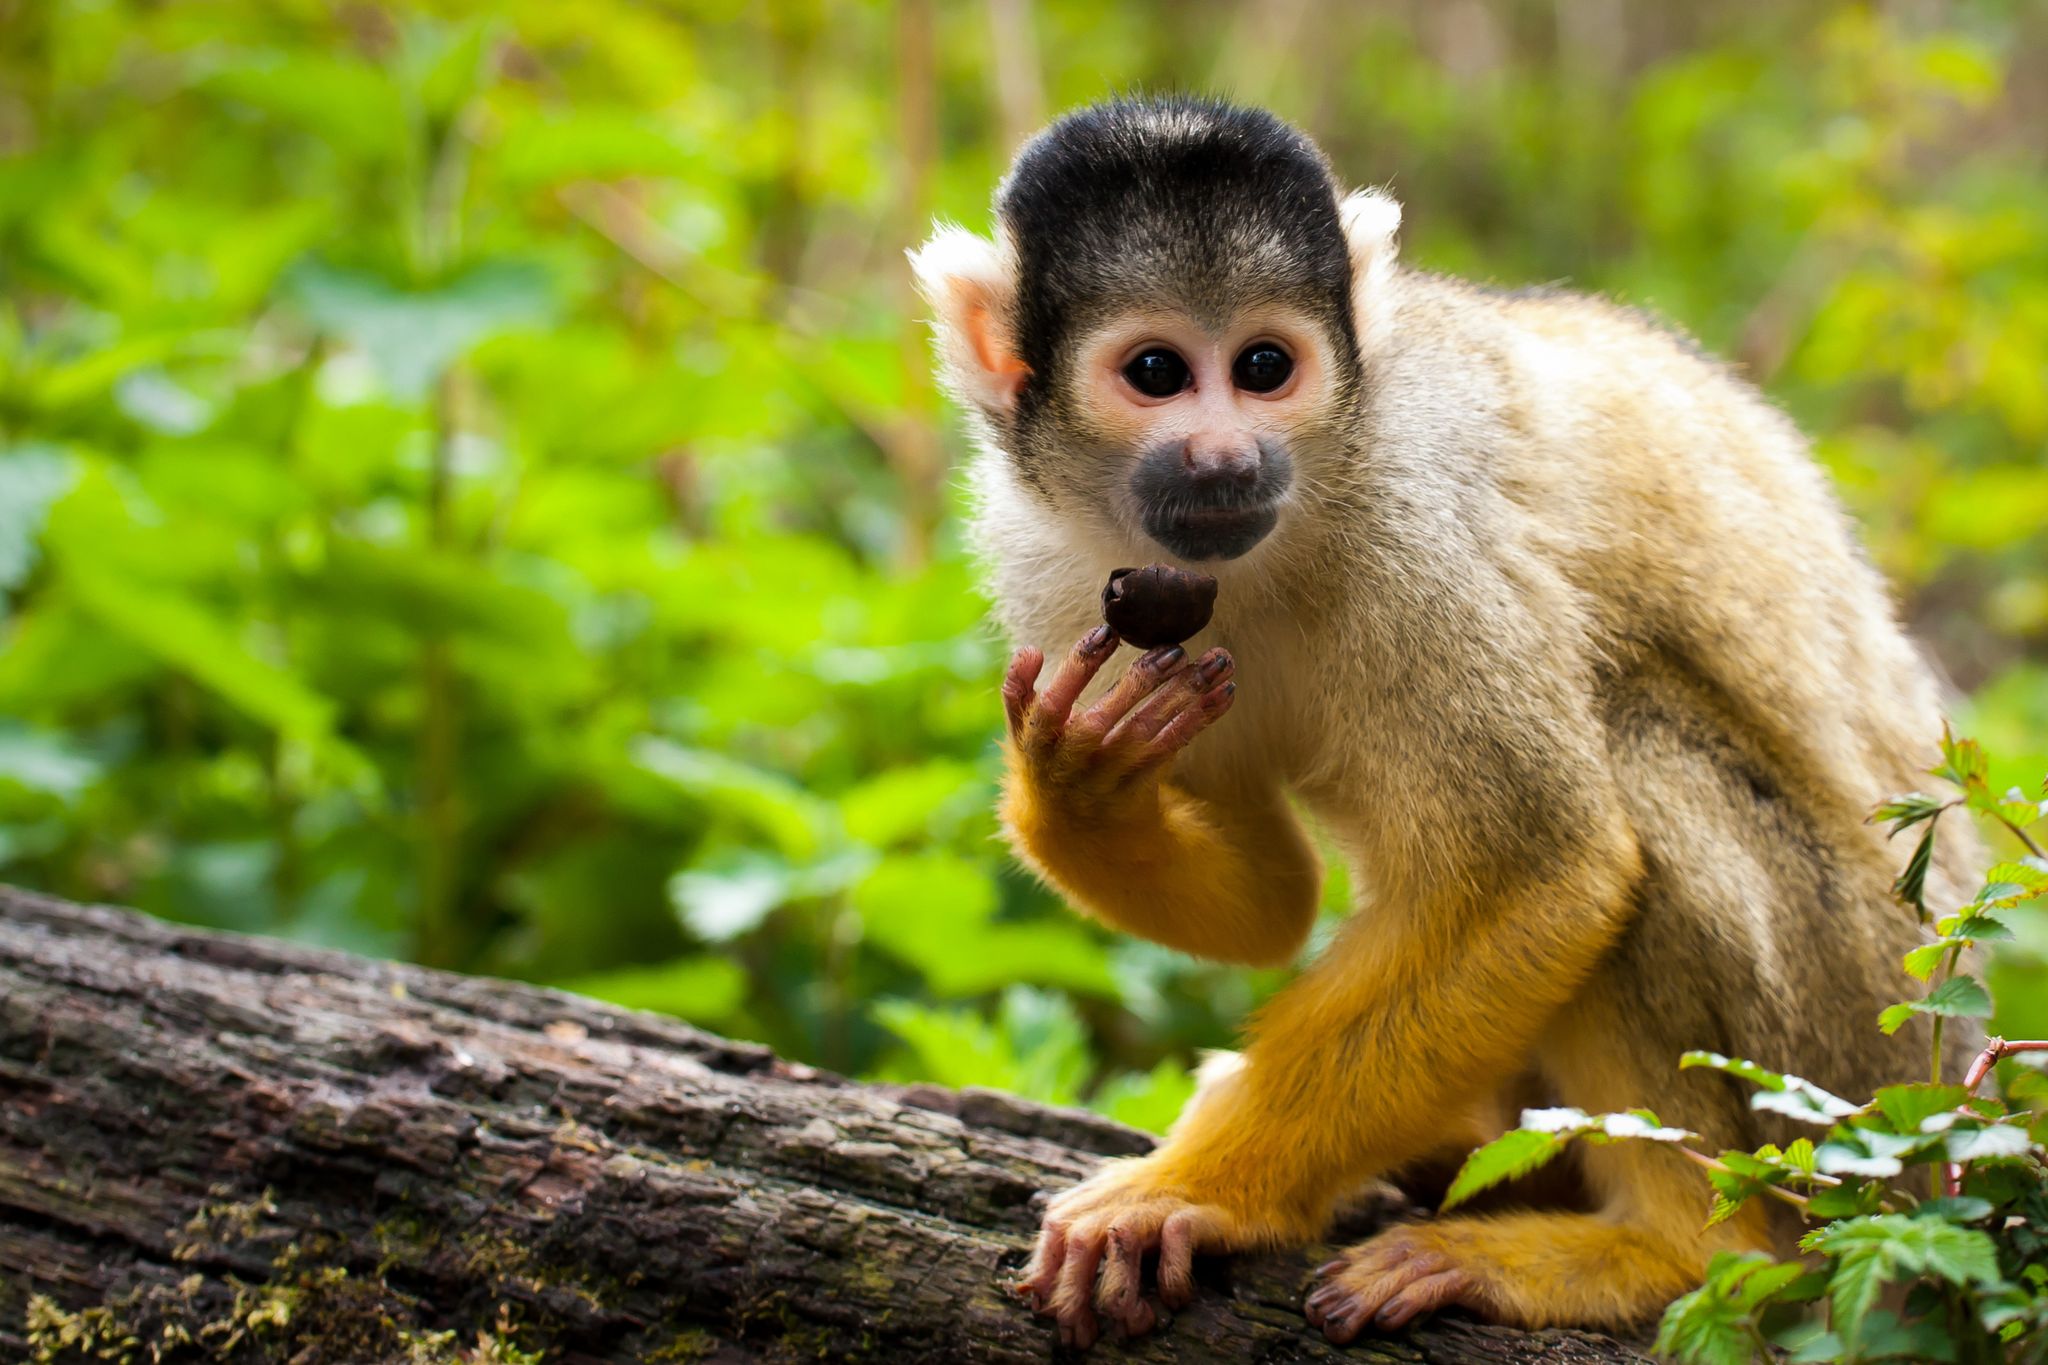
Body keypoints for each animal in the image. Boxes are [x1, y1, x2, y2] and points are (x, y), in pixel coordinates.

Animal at [912, 95, 1980, 1348]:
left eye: (1264, 367)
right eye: (1156, 372)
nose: (1227, 455)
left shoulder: (1421, 525)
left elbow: (1539, 869)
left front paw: (1186, 1195)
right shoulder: (1058, 571)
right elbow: (1274, 905)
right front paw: (1084, 790)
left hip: (1842, 1062)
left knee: (1629, 745)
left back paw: (1667, 1248)